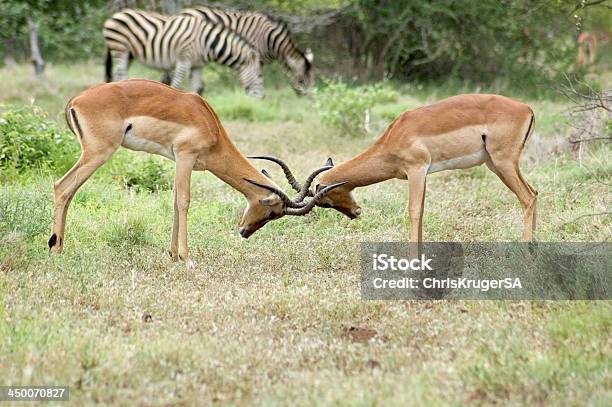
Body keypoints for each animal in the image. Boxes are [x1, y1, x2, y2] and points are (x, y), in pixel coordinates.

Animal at [49, 80, 342, 268]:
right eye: (272, 212)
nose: (244, 232)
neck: (210, 124)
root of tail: (74, 101)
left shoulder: (178, 161)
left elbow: (173, 202)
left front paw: (172, 255)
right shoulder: (185, 157)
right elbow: (184, 201)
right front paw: (187, 258)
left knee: (69, 191)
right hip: (99, 153)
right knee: (62, 187)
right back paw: (55, 248)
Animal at [103, 9, 266, 98]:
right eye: (259, 77)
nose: (261, 100)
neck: (206, 42)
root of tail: (114, 15)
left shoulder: (197, 65)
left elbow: (197, 87)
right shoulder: (184, 59)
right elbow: (176, 84)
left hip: (129, 53)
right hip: (120, 48)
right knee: (119, 72)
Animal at [176, 6, 314, 95]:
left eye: (311, 80)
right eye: (301, 81)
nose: (311, 102)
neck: (269, 39)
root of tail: (184, 11)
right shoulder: (255, 58)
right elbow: (256, 79)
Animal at [256, 93, 536, 242]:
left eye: (325, 201)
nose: (356, 212)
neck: (394, 136)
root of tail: (527, 108)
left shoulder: (417, 171)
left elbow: (414, 211)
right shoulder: (420, 175)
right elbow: (420, 211)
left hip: (503, 163)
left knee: (527, 198)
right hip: (497, 165)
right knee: (534, 193)